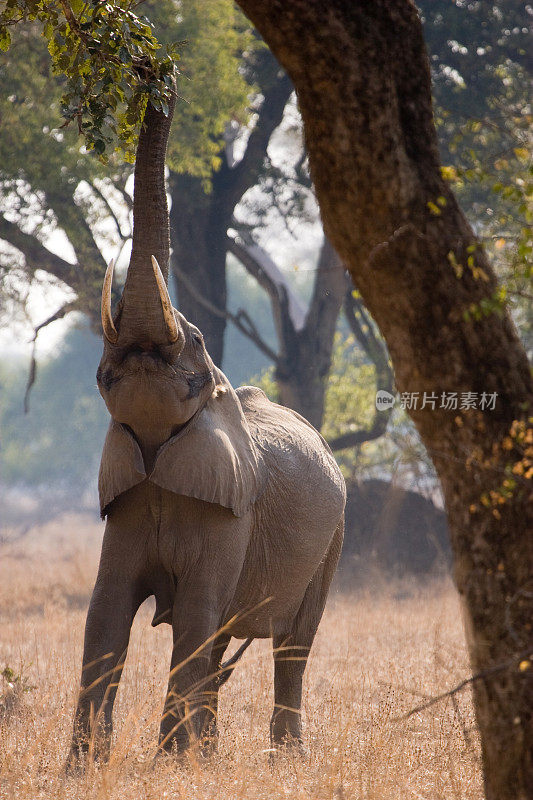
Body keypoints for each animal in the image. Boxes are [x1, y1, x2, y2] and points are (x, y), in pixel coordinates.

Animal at [66, 86, 344, 764]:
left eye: (193, 349)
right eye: (103, 372)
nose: (157, 78)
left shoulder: (231, 512)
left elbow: (194, 612)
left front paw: (166, 766)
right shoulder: (128, 498)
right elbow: (105, 612)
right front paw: (83, 770)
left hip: (334, 537)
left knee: (292, 644)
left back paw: (282, 758)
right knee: (222, 640)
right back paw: (209, 752)